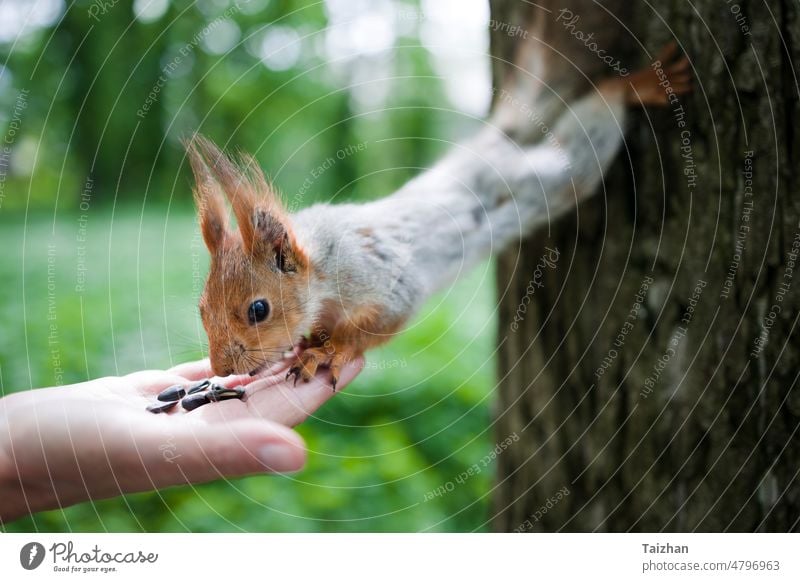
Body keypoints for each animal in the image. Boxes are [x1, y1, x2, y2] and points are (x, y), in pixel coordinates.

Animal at [184, 13, 692, 390]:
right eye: (201, 309)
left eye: (259, 310)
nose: (221, 371)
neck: (324, 266)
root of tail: (494, 146)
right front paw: (312, 340)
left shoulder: (385, 279)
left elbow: (378, 324)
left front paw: (330, 349)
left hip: (559, 172)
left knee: (591, 134)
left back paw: (635, 86)